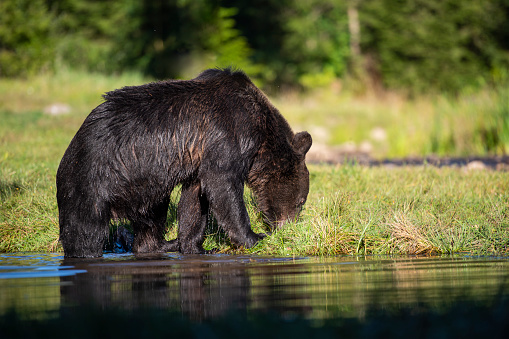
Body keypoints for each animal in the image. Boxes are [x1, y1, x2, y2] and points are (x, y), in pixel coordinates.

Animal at [54, 67, 310, 258]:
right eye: (301, 201)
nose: (290, 227)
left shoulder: (198, 161)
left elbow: (194, 200)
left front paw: (197, 246)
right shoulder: (229, 133)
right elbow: (223, 184)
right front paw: (254, 237)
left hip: (146, 186)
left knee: (152, 215)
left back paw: (165, 243)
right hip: (93, 178)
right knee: (85, 229)